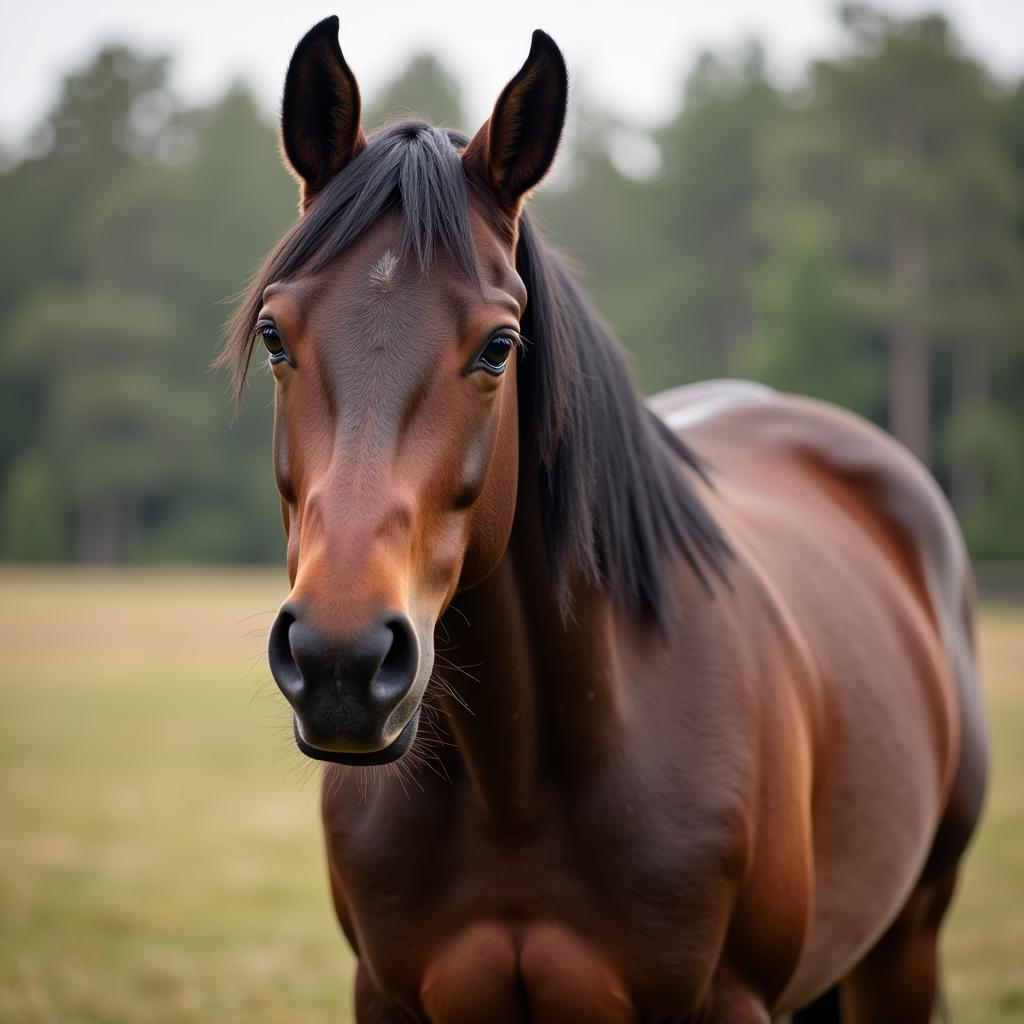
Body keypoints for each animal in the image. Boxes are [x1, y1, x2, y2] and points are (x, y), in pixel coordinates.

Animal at [220, 18, 987, 1024]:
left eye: (499, 347)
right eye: (275, 334)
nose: (339, 661)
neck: (519, 785)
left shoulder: (731, 999)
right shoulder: (384, 996)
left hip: (907, 945)